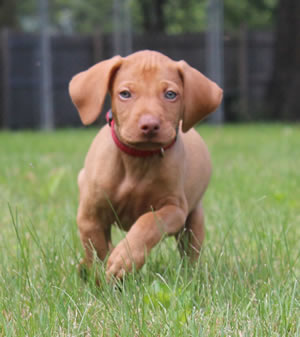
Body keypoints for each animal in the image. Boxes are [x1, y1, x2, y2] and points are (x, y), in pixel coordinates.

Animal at [69, 48, 221, 276]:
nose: (149, 125)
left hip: (194, 220)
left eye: (170, 94)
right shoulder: (90, 215)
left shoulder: (175, 209)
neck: (137, 160)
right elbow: (98, 250)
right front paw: (102, 276)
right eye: (125, 94)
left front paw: (125, 258)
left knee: (190, 253)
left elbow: (149, 222)